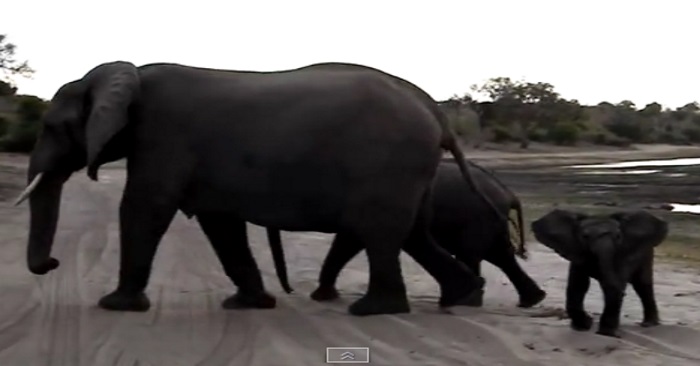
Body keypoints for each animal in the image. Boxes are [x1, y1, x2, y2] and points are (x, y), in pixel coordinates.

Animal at [16, 61, 500, 316]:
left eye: (53, 127)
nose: (52, 263)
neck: (124, 74)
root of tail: (434, 111)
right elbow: (219, 222)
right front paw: (249, 304)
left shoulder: (163, 137)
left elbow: (144, 207)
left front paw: (115, 306)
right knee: (414, 234)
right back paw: (461, 297)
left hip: (389, 163)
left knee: (381, 231)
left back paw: (373, 310)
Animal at [532, 209, 668, 338]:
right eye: (585, 236)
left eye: (618, 236)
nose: (624, 294)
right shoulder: (577, 251)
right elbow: (579, 285)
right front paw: (583, 326)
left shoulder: (623, 253)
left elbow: (615, 283)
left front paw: (606, 333)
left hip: (646, 252)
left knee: (642, 285)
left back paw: (648, 324)